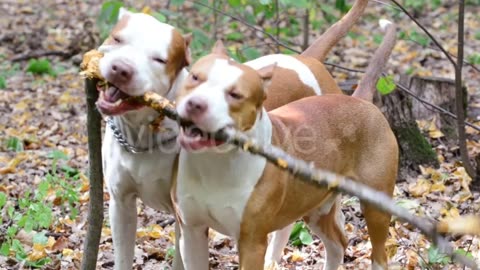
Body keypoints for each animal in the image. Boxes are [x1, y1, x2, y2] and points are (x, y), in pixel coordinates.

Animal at [96, 2, 368, 270]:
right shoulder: (121, 205)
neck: (143, 135)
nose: (121, 69)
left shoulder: (183, 219)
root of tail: (307, 58)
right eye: (117, 39)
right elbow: (122, 256)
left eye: (159, 59)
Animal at [174, 20, 400, 270]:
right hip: (316, 208)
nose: (196, 104)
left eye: (235, 95)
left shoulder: (252, 243)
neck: (214, 162)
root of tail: (359, 100)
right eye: (195, 77)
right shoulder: (191, 232)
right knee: (337, 243)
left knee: (378, 254)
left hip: (376, 208)